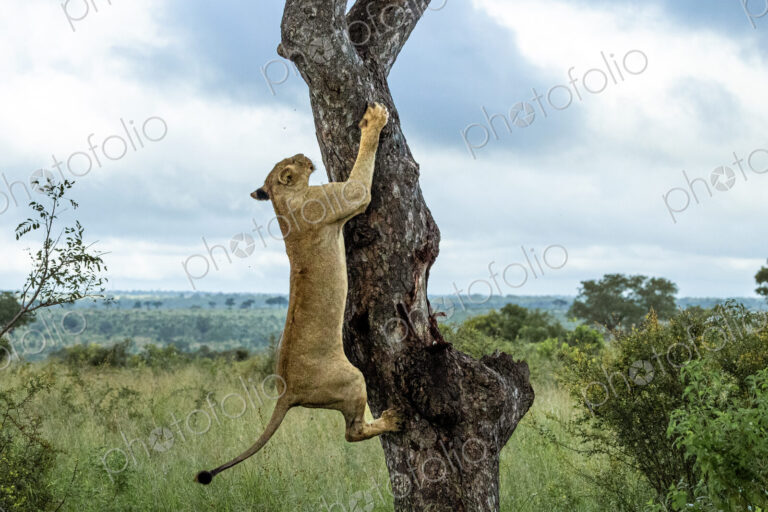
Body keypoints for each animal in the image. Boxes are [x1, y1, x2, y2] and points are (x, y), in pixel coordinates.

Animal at [195, 103, 401, 485]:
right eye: (293, 161)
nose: (305, 153)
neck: (282, 202)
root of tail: (286, 392)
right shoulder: (346, 195)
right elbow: (362, 172)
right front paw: (373, 120)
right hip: (351, 379)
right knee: (352, 432)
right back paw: (391, 419)